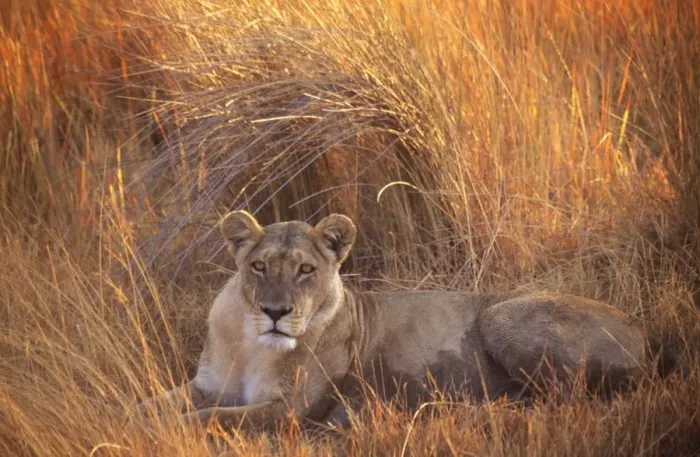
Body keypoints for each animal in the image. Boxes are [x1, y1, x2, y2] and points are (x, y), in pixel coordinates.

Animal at [138, 211, 664, 431]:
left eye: (306, 270)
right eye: (259, 266)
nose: (275, 312)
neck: (251, 344)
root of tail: (644, 330)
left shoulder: (291, 410)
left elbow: (208, 419)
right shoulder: (206, 383)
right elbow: (150, 404)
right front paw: (127, 419)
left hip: (502, 314)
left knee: (567, 399)